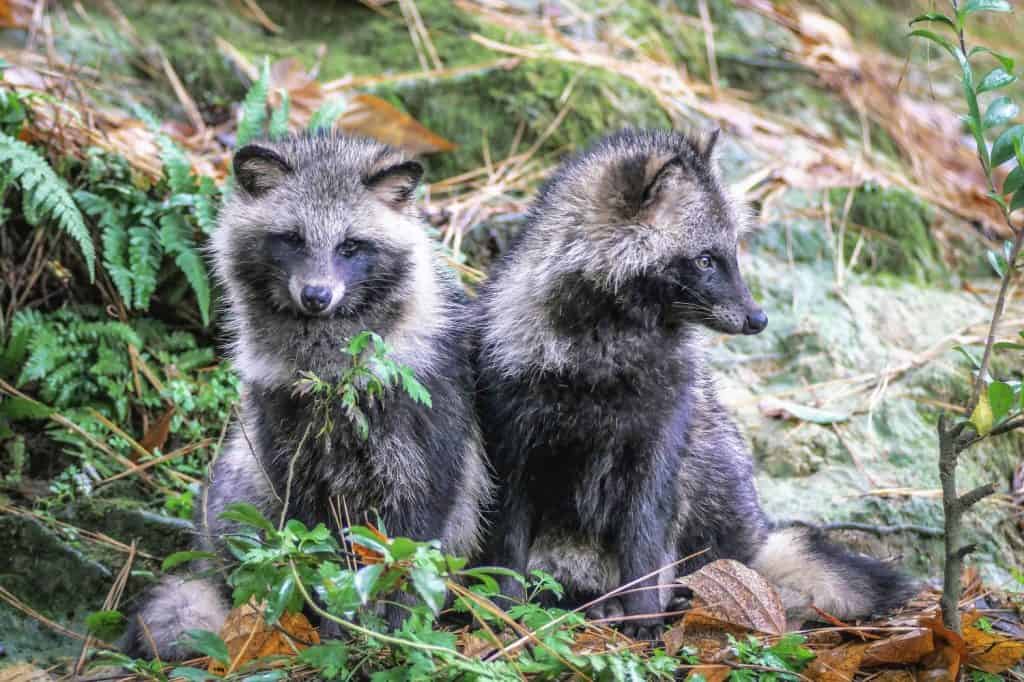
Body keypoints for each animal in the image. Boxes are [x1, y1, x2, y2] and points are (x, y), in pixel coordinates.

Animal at [124, 134, 491, 659]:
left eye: (351, 245)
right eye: (293, 238)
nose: (317, 296)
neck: (330, 362)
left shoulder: (426, 414)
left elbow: (415, 535)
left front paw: (397, 626)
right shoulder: (282, 425)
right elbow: (310, 539)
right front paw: (333, 621)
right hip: (241, 486)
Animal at [474, 129, 913, 639]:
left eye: (732, 254)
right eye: (705, 260)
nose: (759, 319)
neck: (607, 350)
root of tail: (754, 539)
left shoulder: (657, 449)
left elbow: (644, 544)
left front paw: (643, 612)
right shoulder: (515, 446)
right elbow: (507, 545)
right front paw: (502, 609)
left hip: (706, 465)